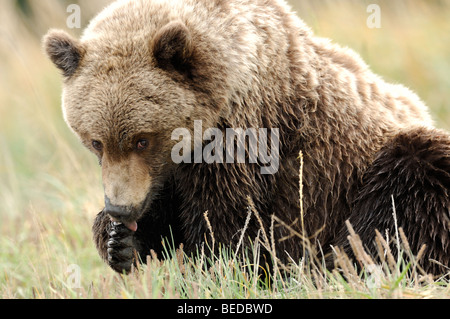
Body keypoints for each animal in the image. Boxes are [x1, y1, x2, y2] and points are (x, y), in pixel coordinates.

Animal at [43, 0, 450, 276]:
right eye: (96, 141)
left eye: (143, 139)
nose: (120, 209)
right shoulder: (166, 173)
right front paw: (119, 241)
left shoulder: (247, 142)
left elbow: (226, 227)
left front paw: (216, 270)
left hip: (376, 168)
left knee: (412, 186)